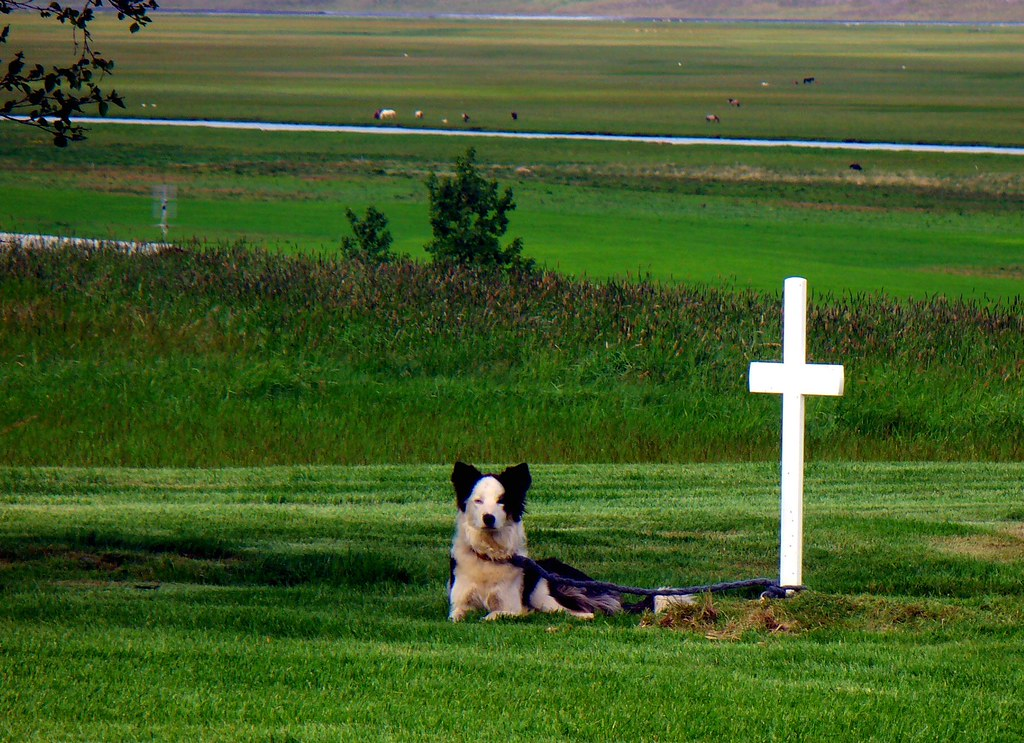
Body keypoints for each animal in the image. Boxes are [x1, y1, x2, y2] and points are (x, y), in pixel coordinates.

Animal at [446, 462, 679, 618]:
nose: (488, 518)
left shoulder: (512, 605)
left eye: (502, 501)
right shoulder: (459, 602)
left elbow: (493, 614)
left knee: (585, 613)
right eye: (478, 501)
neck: (489, 553)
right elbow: (457, 615)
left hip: (542, 591)